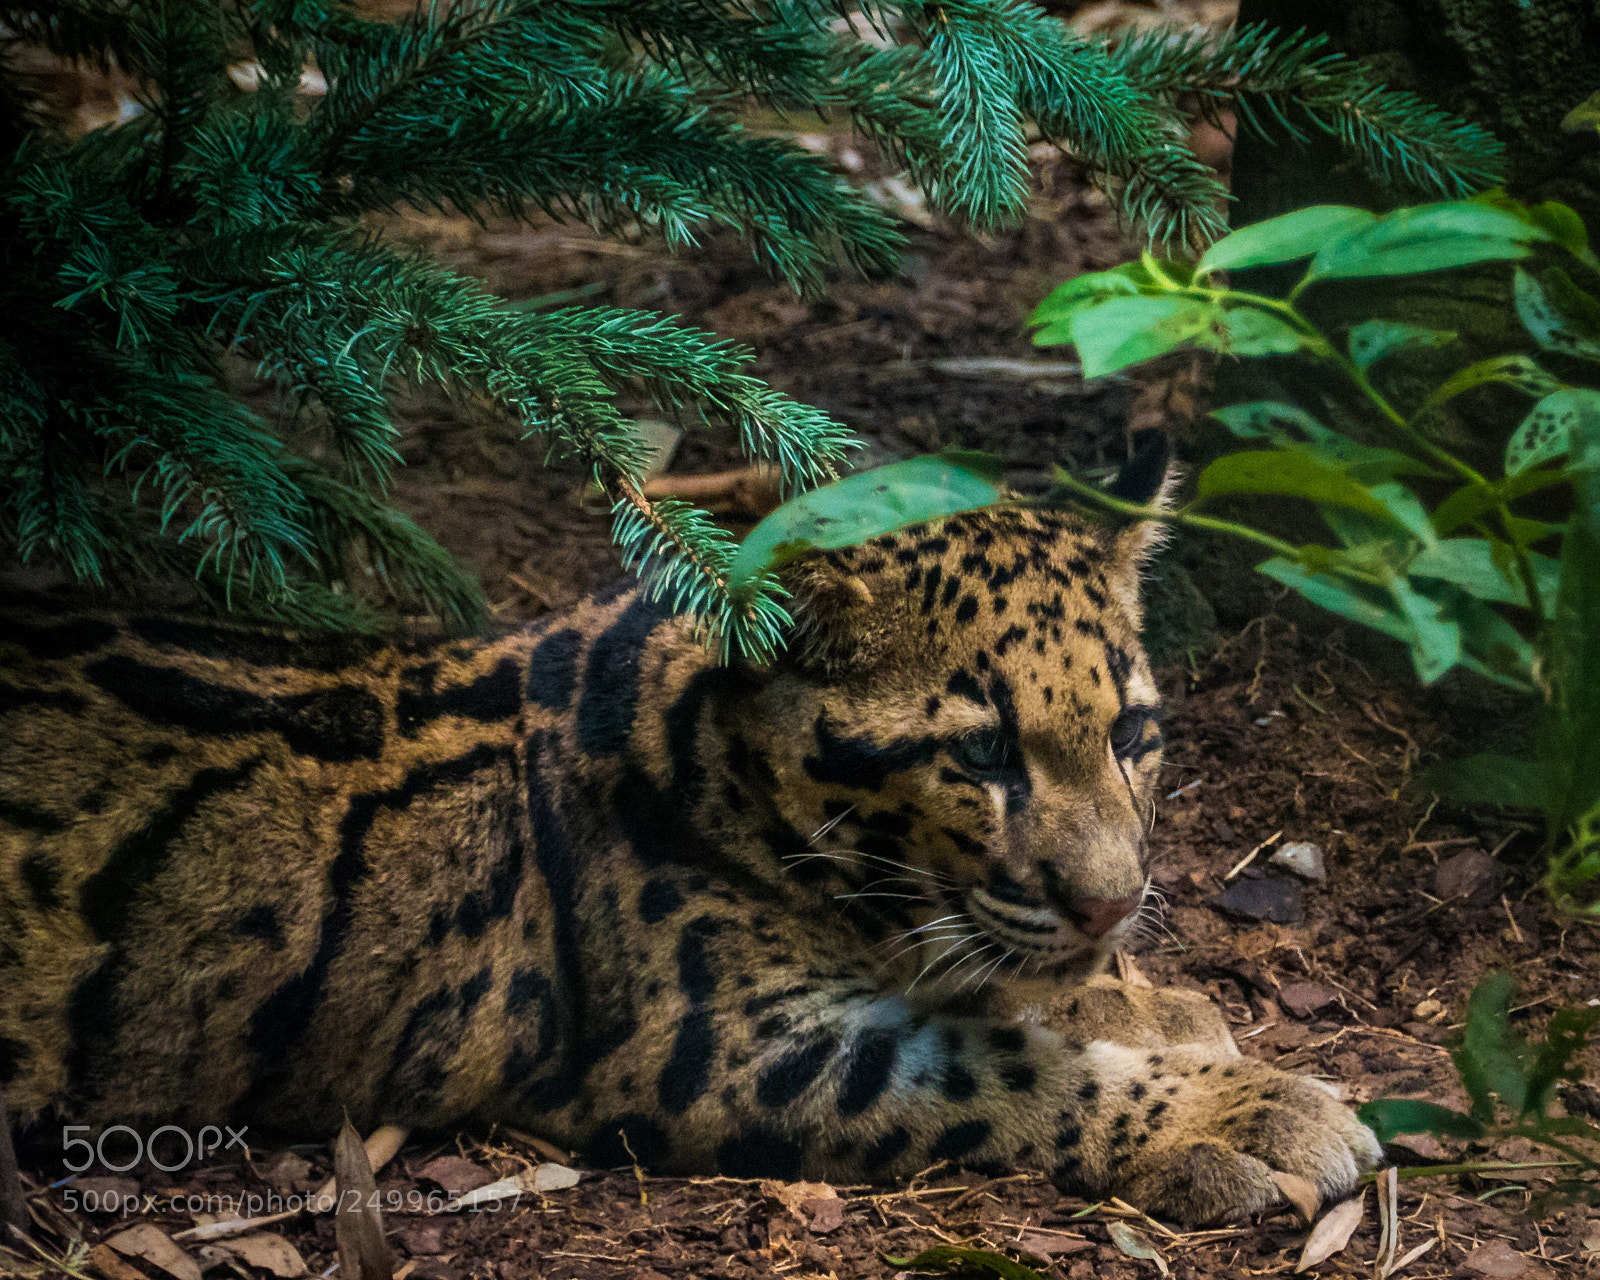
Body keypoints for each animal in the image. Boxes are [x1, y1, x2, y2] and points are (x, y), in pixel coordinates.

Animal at [0, 443, 1380, 1226]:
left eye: (1134, 733)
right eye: (983, 755)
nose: (1113, 901)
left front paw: (1148, 1002)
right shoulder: (701, 1048)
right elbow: (1000, 1067)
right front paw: (1236, 1111)